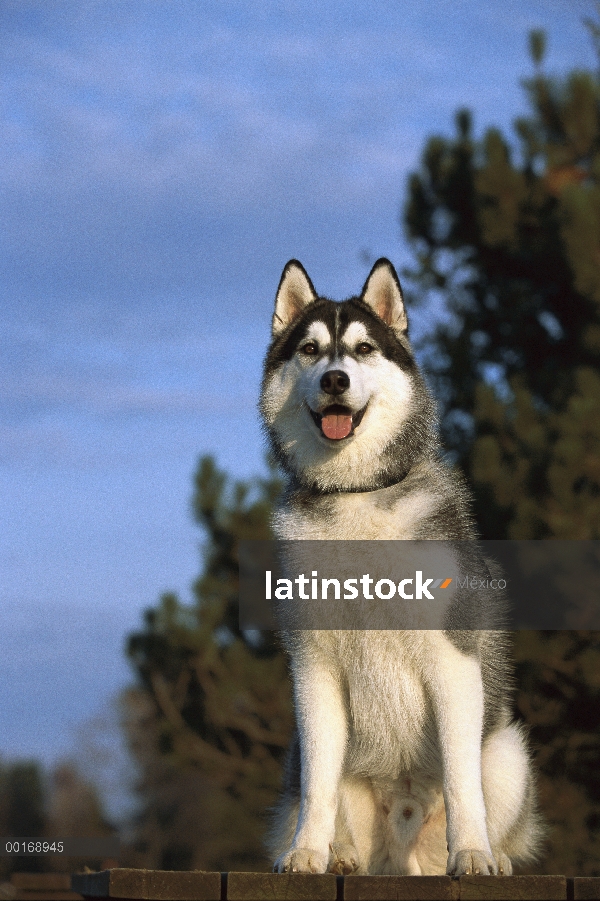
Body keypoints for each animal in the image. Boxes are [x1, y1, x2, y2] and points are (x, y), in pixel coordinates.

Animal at [260, 258, 540, 872]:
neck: (356, 496)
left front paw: (473, 853)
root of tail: (401, 854)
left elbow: (462, 781)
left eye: (363, 349)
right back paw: (341, 855)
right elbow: (320, 782)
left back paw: (494, 856)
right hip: (299, 764)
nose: (334, 381)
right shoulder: (313, 670)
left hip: (508, 750)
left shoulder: (453, 661)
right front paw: (308, 852)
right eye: (310, 350)